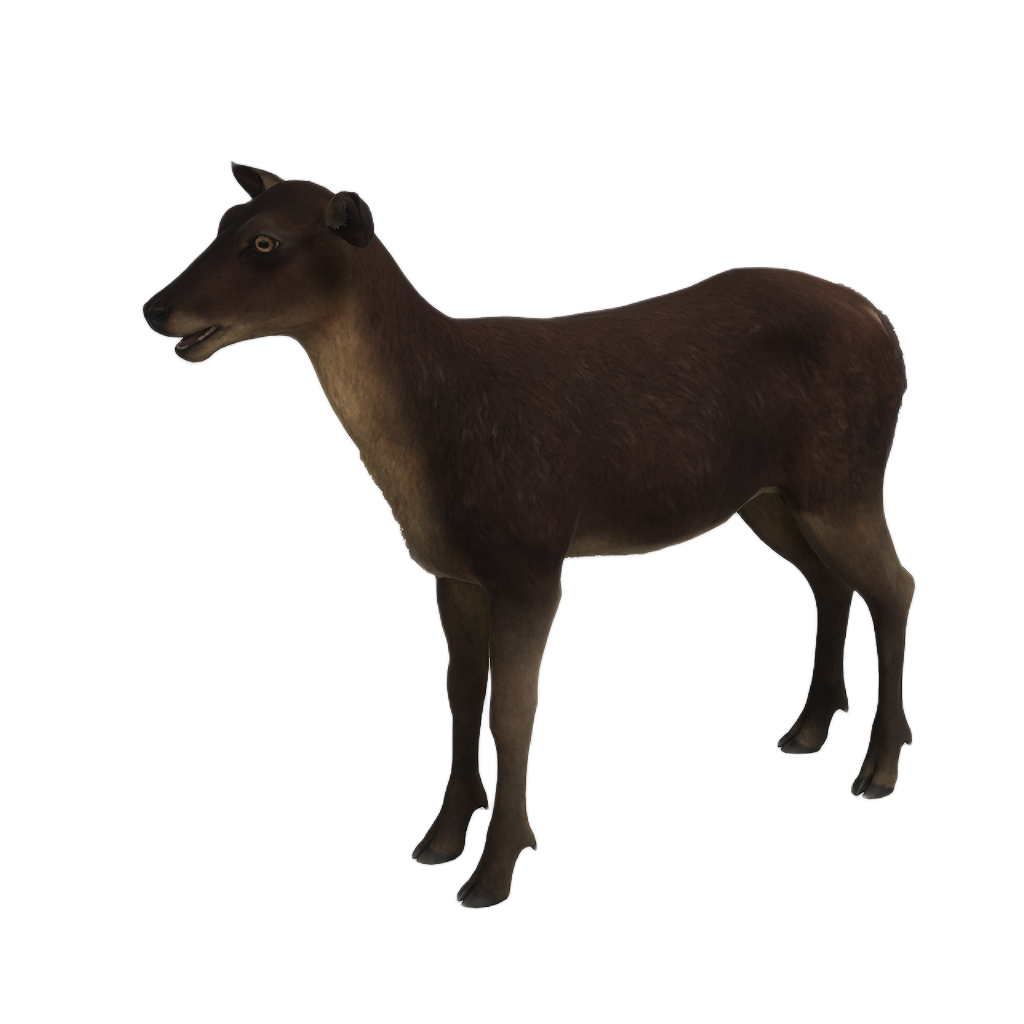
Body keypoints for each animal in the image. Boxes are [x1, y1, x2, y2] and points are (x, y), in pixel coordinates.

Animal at [143, 161, 916, 909]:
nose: (155, 307)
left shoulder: (531, 557)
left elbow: (513, 713)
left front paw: (494, 871)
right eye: (223, 220)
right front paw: (441, 838)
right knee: (831, 581)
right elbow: (460, 695)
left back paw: (878, 767)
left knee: (894, 584)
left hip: (845, 476)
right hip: (770, 495)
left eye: (265, 242)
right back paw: (808, 730)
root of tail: (885, 326)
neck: (431, 446)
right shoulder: (452, 569)